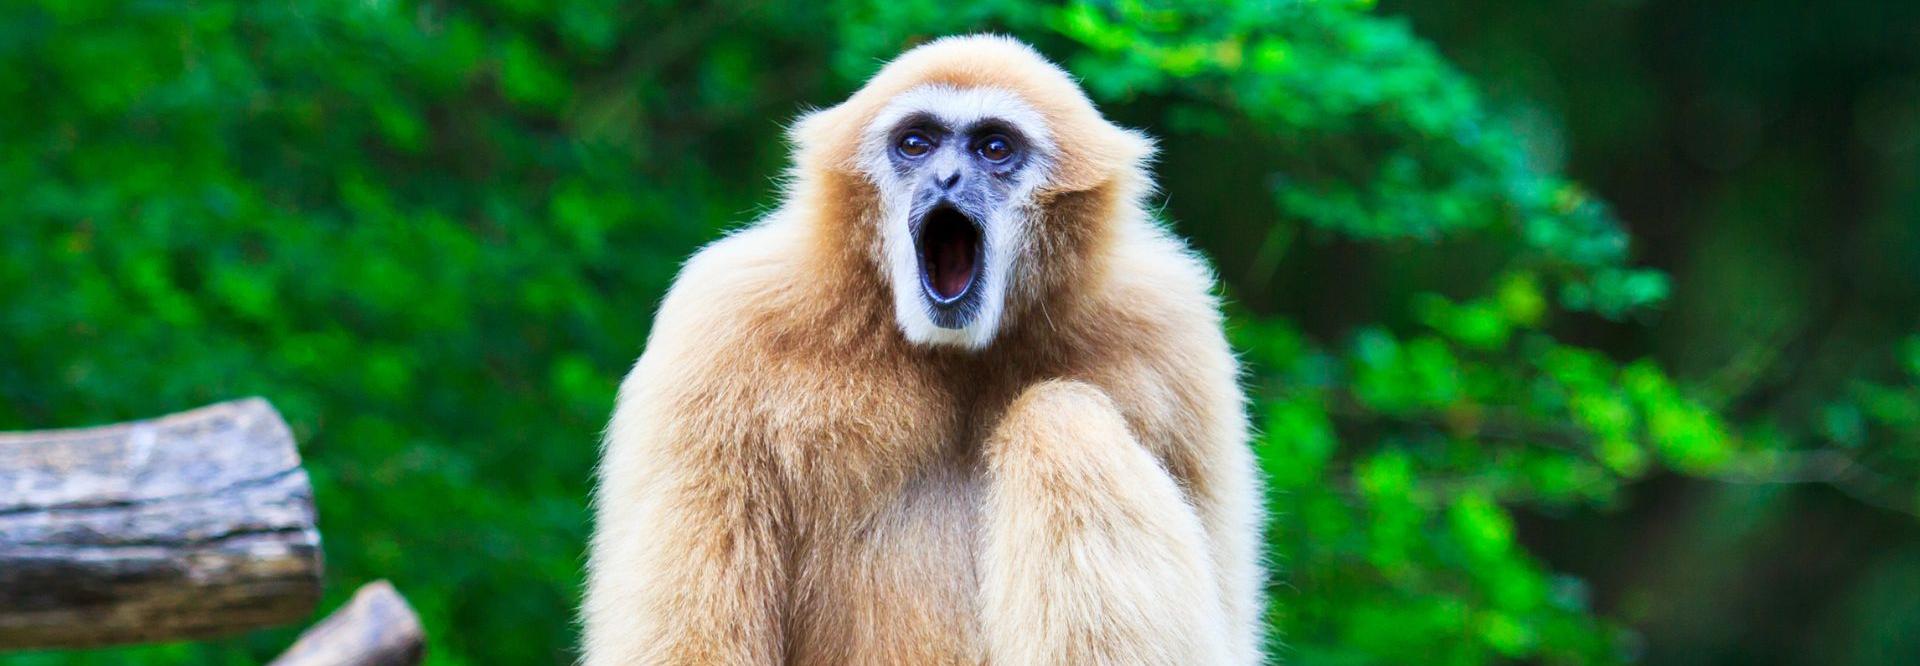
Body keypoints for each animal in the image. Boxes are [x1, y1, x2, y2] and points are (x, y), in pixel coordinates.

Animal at [584, 35, 1265, 665]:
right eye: (916, 144)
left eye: (995, 148)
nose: (947, 178)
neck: (955, 354)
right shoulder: (718, 328)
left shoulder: (1174, 328)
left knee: (1060, 421)